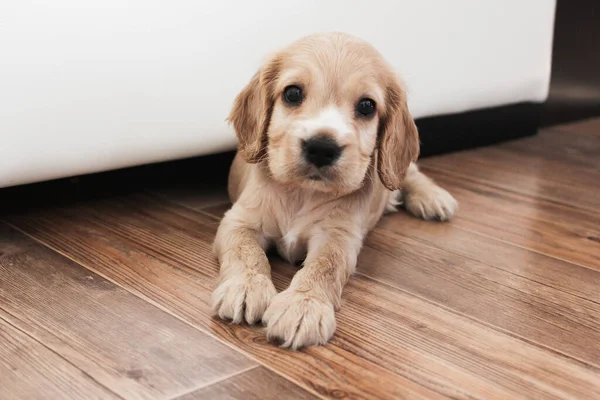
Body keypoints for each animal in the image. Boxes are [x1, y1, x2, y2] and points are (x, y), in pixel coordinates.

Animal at [213, 32, 458, 348]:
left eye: (366, 106)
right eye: (292, 93)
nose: (321, 148)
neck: (302, 193)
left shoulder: (339, 236)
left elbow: (324, 267)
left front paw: (303, 305)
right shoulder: (239, 220)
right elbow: (246, 251)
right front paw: (245, 286)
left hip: (394, 172)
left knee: (410, 174)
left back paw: (433, 198)